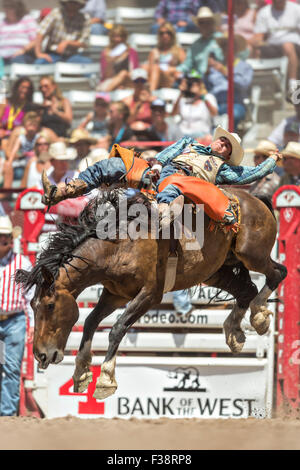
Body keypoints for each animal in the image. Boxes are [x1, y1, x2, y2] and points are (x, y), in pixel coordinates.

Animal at [15, 187, 288, 400]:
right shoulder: (115, 294)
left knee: (278, 273)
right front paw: (81, 373)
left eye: (50, 305)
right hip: (217, 271)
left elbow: (117, 328)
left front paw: (105, 380)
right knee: (247, 290)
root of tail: (253, 198)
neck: (119, 245)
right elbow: (91, 321)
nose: (41, 354)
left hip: (251, 254)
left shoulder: (149, 295)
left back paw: (259, 317)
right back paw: (234, 332)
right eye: (32, 306)